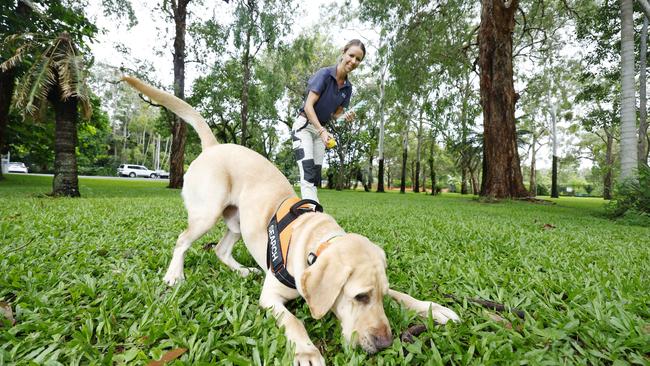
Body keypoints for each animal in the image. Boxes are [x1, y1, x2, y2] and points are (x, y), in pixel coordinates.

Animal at [121, 76, 456, 364]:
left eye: (381, 296)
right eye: (360, 297)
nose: (386, 344)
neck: (314, 247)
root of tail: (215, 146)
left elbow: (404, 295)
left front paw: (434, 309)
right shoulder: (271, 298)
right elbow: (295, 320)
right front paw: (307, 352)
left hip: (238, 223)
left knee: (220, 249)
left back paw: (242, 270)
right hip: (207, 212)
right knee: (182, 241)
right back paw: (174, 275)